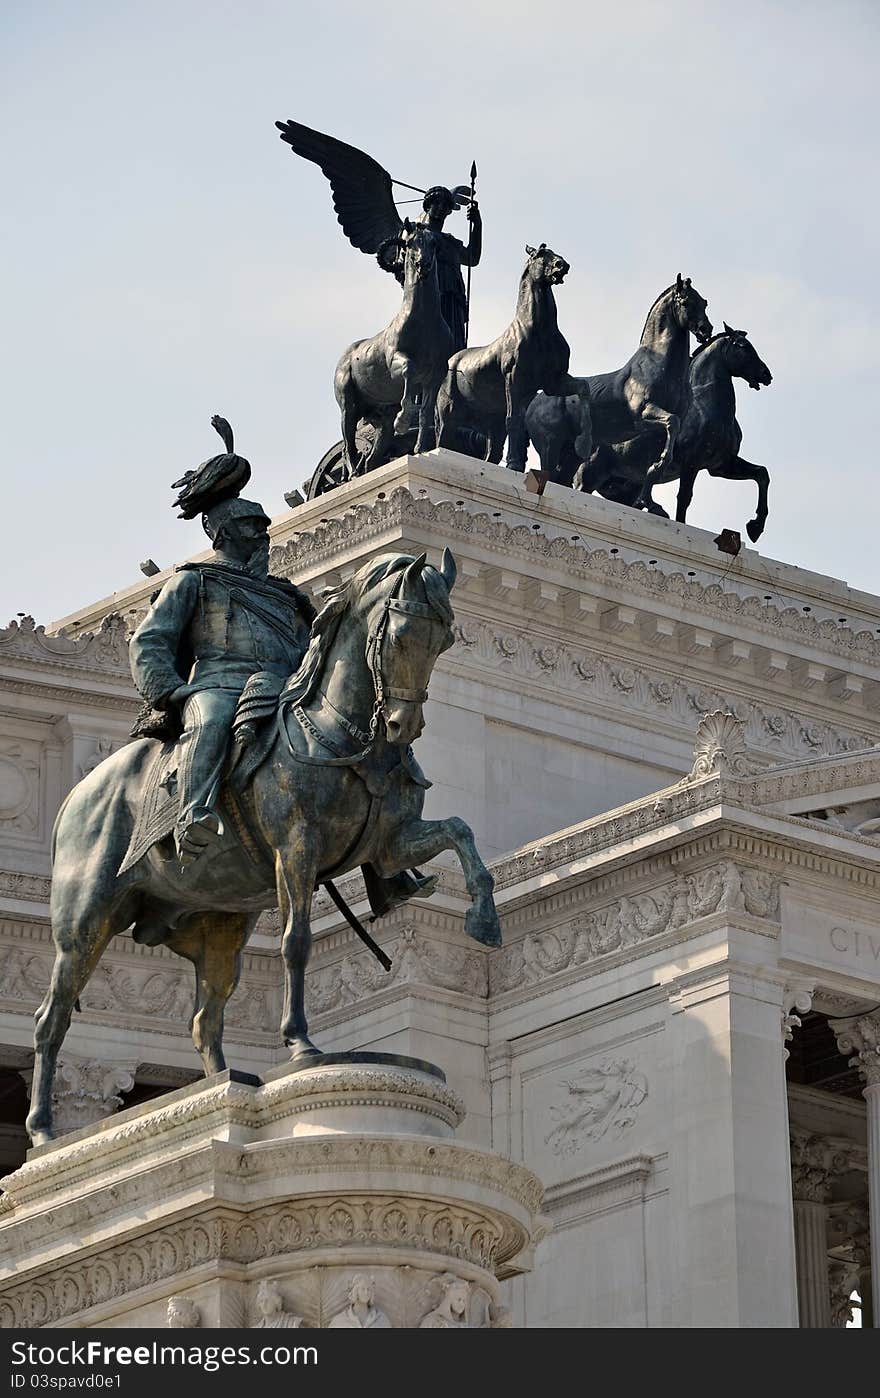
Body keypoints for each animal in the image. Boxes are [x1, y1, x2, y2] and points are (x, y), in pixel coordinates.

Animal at [27, 550, 498, 1140]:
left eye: (447, 638)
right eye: (400, 634)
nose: (402, 725)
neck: (342, 733)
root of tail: (75, 797)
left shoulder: (391, 845)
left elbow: (462, 832)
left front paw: (484, 919)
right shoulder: (296, 848)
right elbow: (296, 940)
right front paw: (300, 1044)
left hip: (219, 924)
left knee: (203, 1021)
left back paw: (222, 1089)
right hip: (84, 922)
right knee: (51, 1017)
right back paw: (44, 1132)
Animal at [331, 219, 450, 475]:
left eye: (434, 243)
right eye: (410, 243)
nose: (423, 264)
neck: (423, 323)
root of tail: (345, 357)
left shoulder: (435, 376)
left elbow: (426, 412)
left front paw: (420, 449)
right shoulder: (398, 360)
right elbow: (409, 371)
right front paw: (403, 421)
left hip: (378, 419)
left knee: (371, 457)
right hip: (348, 408)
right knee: (347, 445)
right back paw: (353, 473)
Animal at [433, 243, 590, 472]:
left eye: (553, 252)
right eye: (539, 254)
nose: (562, 265)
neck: (540, 331)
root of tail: (451, 361)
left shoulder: (554, 382)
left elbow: (583, 388)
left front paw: (586, 442)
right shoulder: (515, 379)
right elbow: (514, 419)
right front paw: (514, 464)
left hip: (490, 422)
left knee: (491, 453)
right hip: (449, 411)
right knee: (443, 439)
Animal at [526, 272, 710, 492]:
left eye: (704, 303)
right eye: (685, 302)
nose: (706, 329)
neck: (660, 366)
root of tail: (532, 403)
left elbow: (672, 428)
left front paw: (655, 470)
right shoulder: (643, 413)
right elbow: (672, 422)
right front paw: (658, 466)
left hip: (570, 454)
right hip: (550, 444)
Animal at [595, 325, 766, 539]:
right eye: (744, 346)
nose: (766, 375)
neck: (707, 406)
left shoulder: (721, 465)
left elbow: (762, 473)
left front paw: (755, 527)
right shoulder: (691, 463)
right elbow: (684, 497)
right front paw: (681, 525)